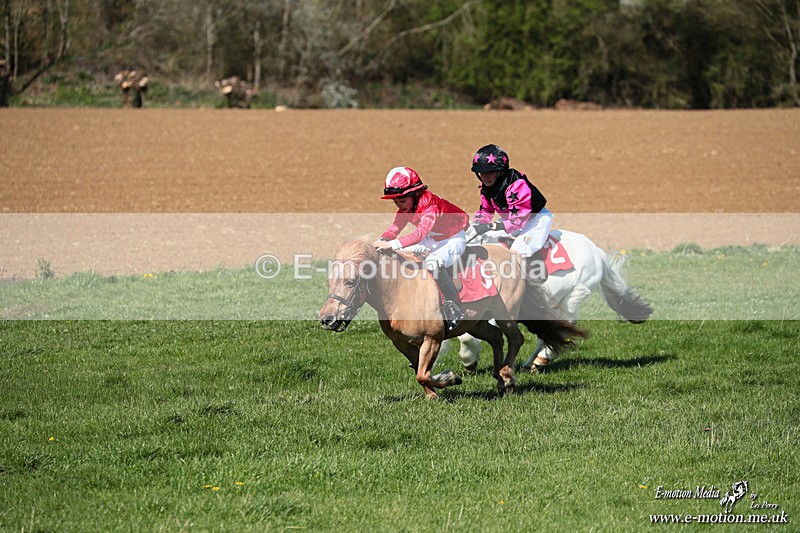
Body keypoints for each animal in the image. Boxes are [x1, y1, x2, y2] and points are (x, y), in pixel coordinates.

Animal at [319, 235, 585, 399]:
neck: (400, 290)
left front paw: (450, 378)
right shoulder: (403, 343)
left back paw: (507, 377)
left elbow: (422, 374)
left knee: (515, 338)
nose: (326, 319)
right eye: (329, 281)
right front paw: (436, 390)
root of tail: (515, 256)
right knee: (496, 337)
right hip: (476, 321)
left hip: (505, 313)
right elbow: (421, 372)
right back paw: (498, 375)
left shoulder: (433, 337)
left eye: (350, 281)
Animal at [439, 229, 652, 373]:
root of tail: (596, 251)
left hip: (574, 296)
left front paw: (469, 360)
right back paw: (532, 362)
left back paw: (542, 358)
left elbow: (466, 336)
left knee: (565, 324)